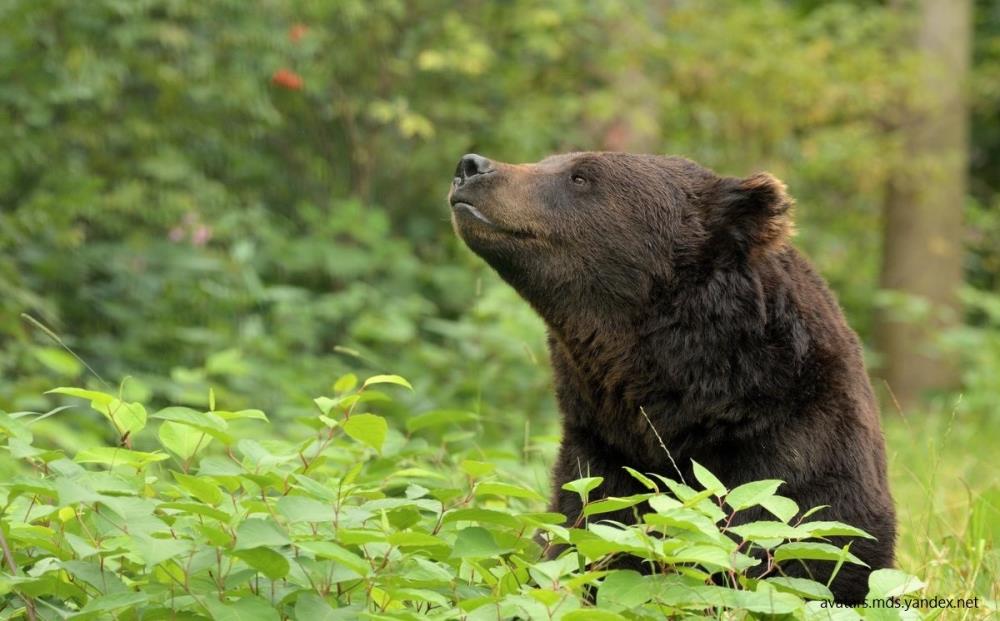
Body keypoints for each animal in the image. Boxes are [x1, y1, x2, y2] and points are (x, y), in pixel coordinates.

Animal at [450, 150, 896, 600]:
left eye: (581, 176)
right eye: (549, 160)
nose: (471, 166)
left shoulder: (796, 451)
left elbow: (801, 545)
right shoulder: (602, 451)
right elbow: (588, 534)